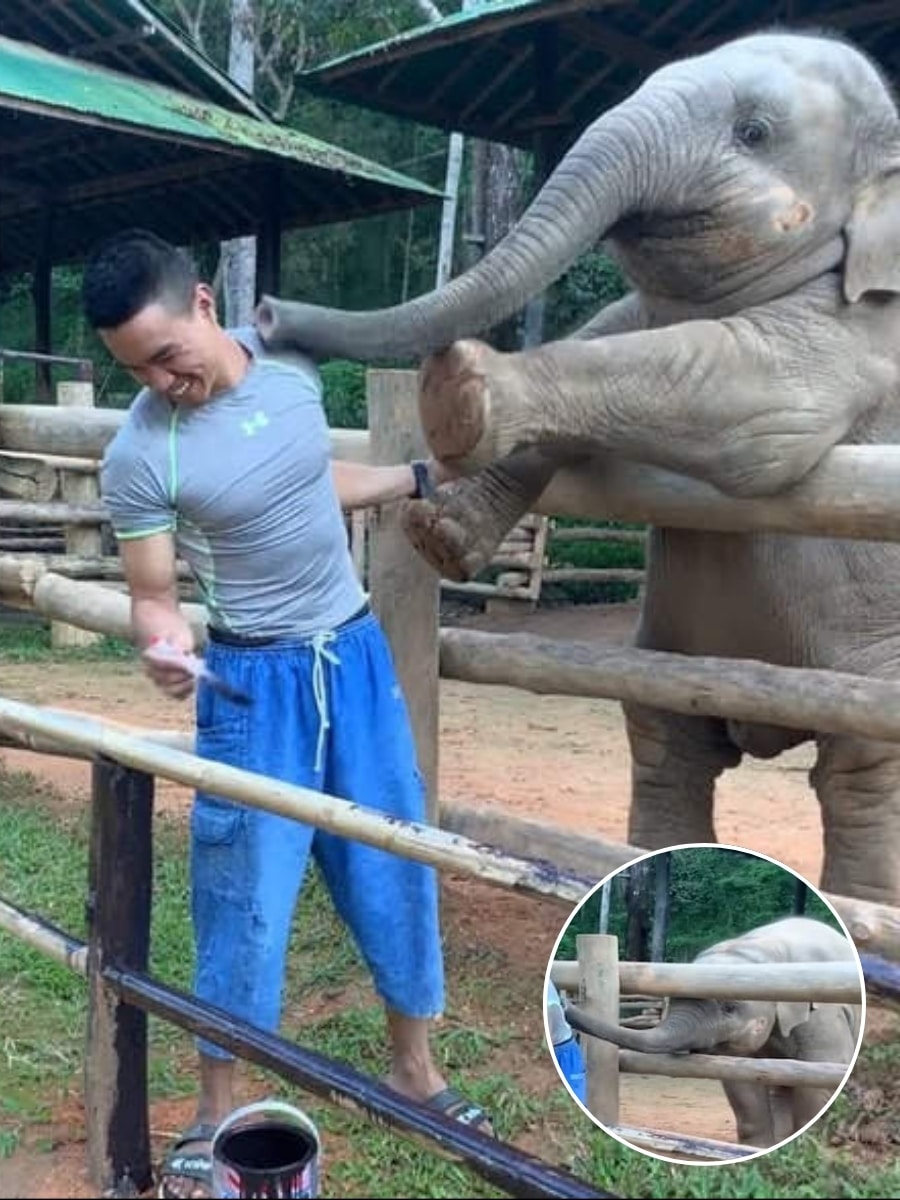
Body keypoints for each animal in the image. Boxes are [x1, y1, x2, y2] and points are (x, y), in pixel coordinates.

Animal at [256, 30, 900, 904]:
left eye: (755, 132)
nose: (264, 313)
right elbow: (611, 334)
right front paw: (439, 534)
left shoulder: (869, 336)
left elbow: (759, 405)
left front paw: (462, 387)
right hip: (671, 657)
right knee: (666, 743)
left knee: (863, 782)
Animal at [562, 916, 862, 1149]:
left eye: (729, 1007)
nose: (565, 1002)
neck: (763, 951)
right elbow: (741, 1080)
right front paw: (757, 1148)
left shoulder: (824, 1013)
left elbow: (823, 1073)